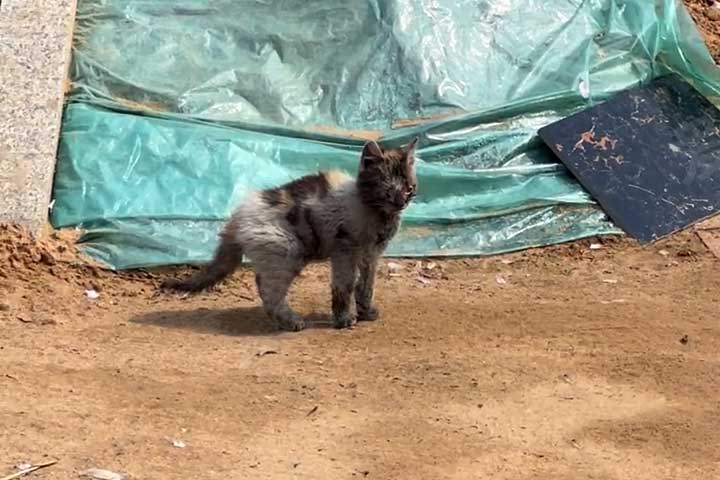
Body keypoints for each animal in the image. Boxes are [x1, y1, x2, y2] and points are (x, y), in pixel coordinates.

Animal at [162, 138, 422, 330]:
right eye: (388, 191)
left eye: (409, 188)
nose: (400, 202)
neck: (373, 209)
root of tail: (238, 215)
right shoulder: (345, 251)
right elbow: (345, 285)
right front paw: (343, 319)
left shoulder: (371, 254)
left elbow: (366, 285)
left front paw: (366, 312)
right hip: (288, 252)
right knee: (270, 291)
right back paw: (291, 321)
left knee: (263, 284)